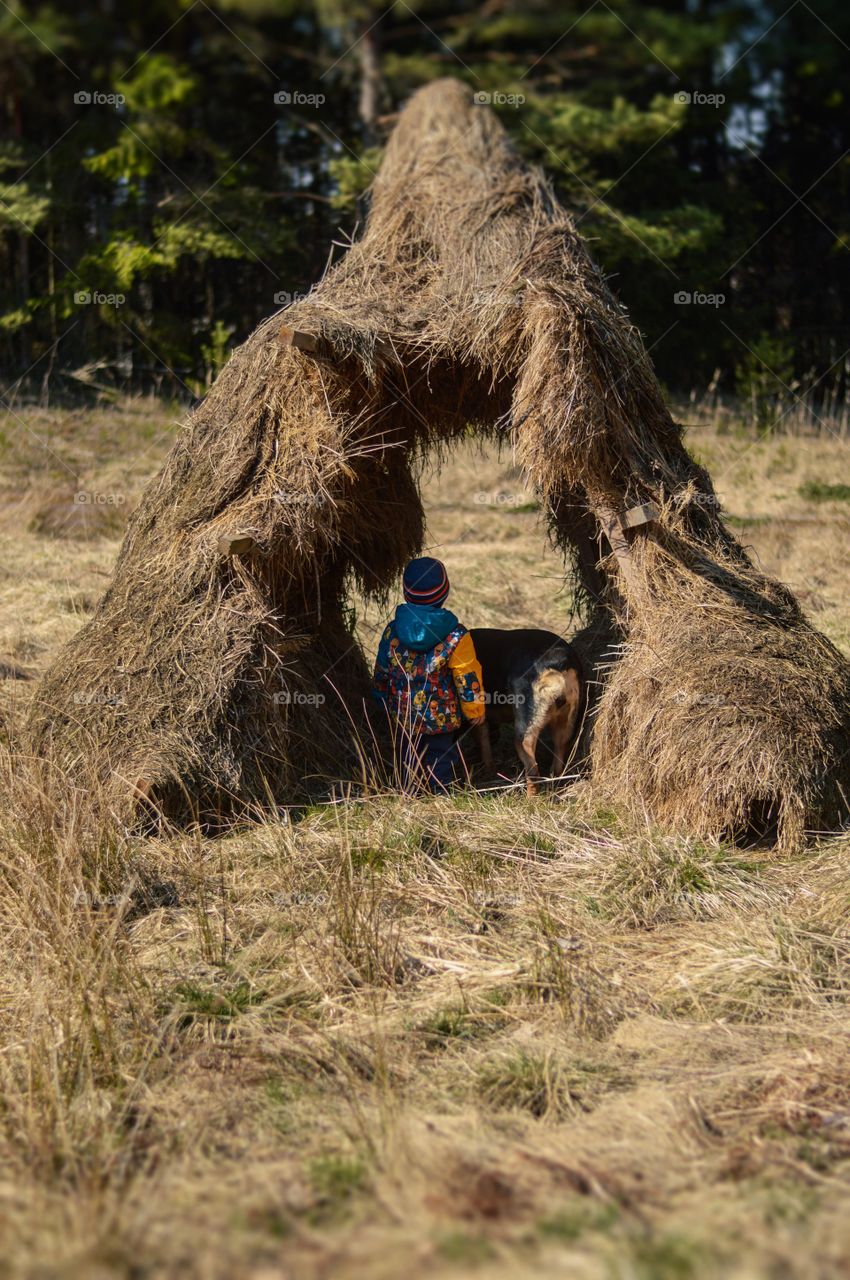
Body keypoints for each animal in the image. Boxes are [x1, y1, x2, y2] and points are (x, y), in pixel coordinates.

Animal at [465, 627, 583, 793]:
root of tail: (557, 666)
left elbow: (483, 741)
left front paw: (489, 771)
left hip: (525, 730)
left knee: (532, 769)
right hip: (566, 724)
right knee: (559, 756)